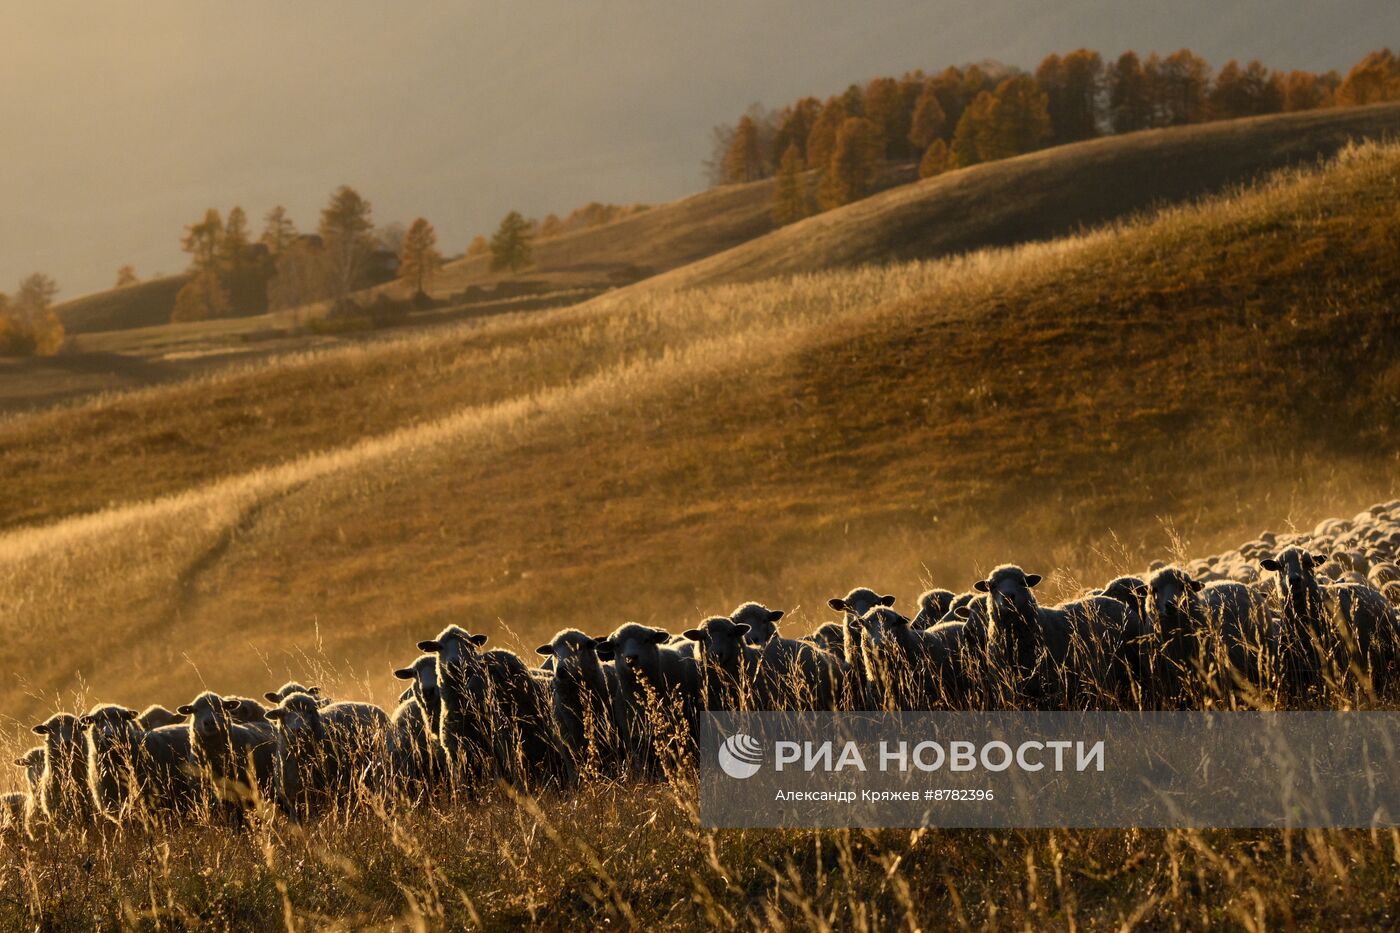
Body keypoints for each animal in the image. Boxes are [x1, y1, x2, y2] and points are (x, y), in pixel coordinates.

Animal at [593, 616, 700, 778]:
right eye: (617, 645)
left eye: (646, 640)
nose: (631, 658)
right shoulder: (631, 735)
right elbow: (638, 764)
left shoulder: (665, 730)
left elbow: (664, 761)